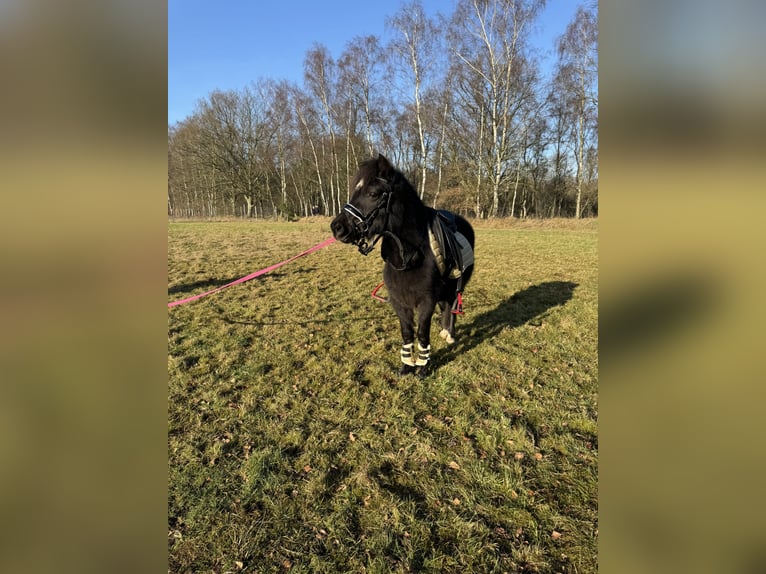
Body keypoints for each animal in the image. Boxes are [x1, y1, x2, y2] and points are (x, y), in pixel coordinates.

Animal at [331, 154, 475, 376]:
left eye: (373, 194)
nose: (337, 227)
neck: (409, 257)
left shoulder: (426, 302)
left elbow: (422, 333)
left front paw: (422, 368)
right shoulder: (399, 302)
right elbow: (407, 333)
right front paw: (407, 366)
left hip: (456, 285)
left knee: (451, 305)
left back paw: (449, 333)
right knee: (445, 305)